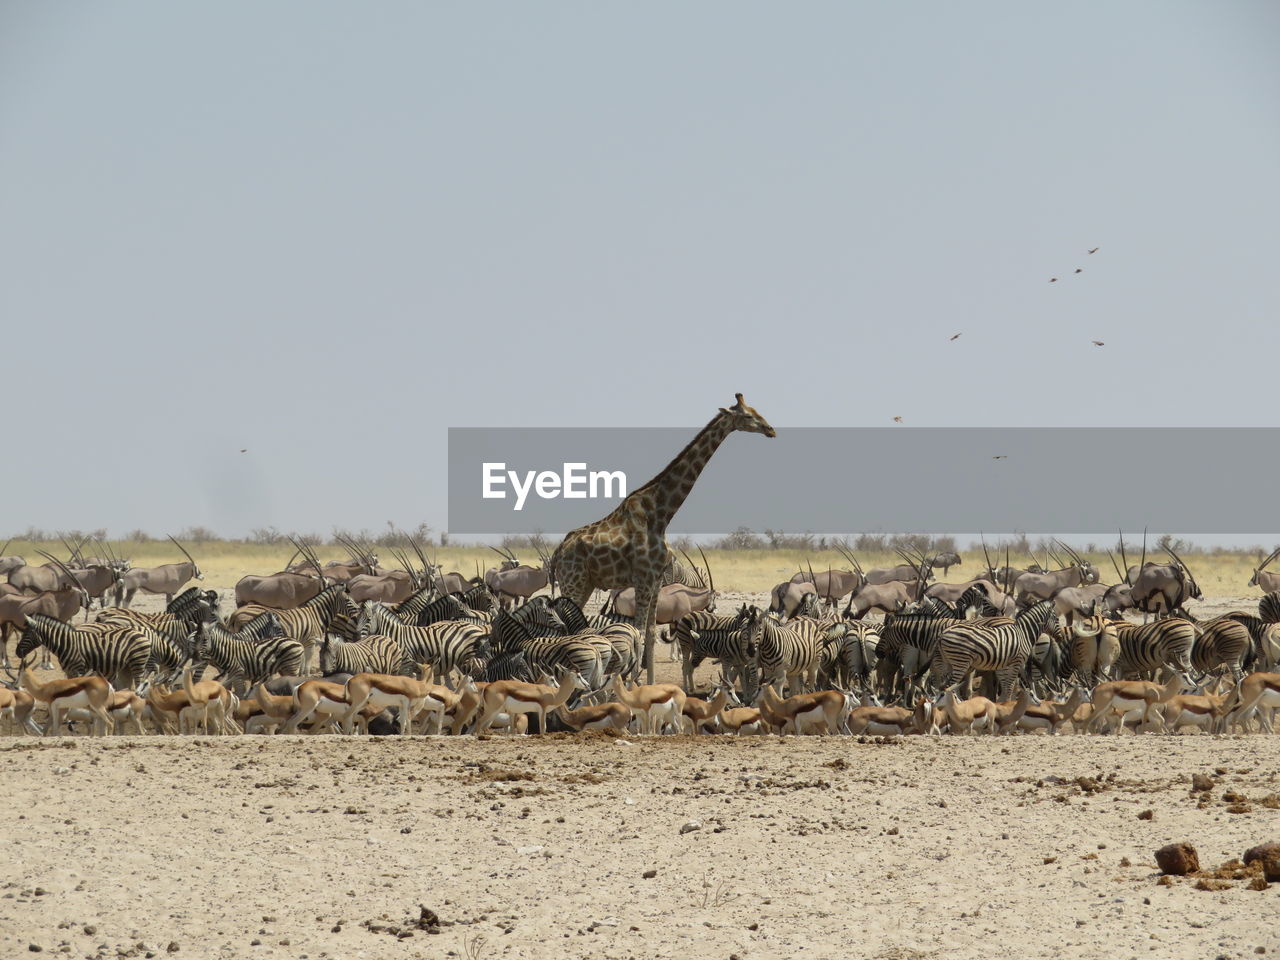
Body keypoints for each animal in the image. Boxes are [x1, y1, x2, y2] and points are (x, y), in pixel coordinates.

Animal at [15, 616, 149, 691]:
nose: (17, 652)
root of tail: (141, 633)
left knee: (139, 685)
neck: (67, 644)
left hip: (138, 663)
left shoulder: (78, 670)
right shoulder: (69, 671)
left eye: (26, 634)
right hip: (126, 667)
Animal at [547, 396, 768, 686]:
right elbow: (638, 633)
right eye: (748, 416)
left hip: (585, 584)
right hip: (573, 581)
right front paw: (631, 686)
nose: (770, 429)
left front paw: (648, 684)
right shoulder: (642, 578)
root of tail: (557, 554)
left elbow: (650, 636)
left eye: (756, 411)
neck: (661, 513)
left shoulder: (654, 580)